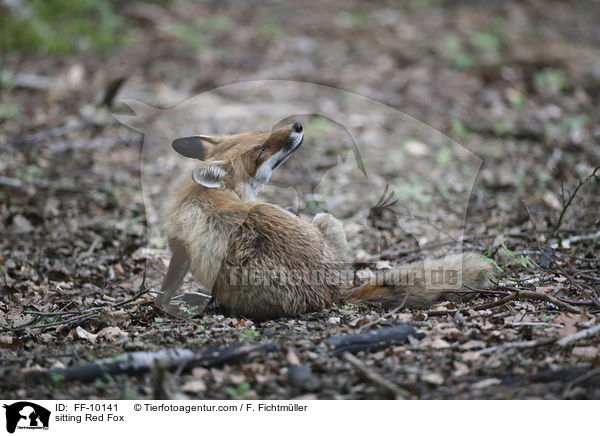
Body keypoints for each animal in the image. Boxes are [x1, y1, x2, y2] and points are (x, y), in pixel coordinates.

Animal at [158, 122, 492, 320]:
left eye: (261, 133)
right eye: (261, 149)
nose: (296, 125)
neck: (206, 193)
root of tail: (333, 292)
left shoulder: (181, 250)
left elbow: (166, 289)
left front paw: (160, 308)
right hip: (325, 219)